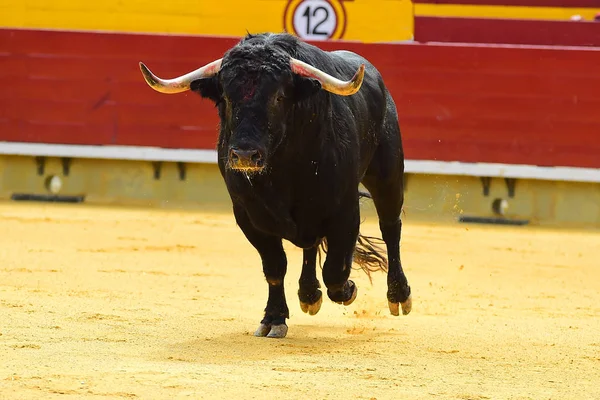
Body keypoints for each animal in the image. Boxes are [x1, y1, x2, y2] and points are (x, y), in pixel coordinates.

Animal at [139, 32, 412, 338]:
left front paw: (348, 289)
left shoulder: (345, 211)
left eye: (279, 97)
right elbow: (274, 267)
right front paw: (274, 318)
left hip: (387, 173)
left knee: (390, 228)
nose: (245, 155)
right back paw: (309, 295)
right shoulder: (248, 216)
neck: (283, 168)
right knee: (310, 244)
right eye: (226, 98)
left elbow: (335, 269)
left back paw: (399, 295)